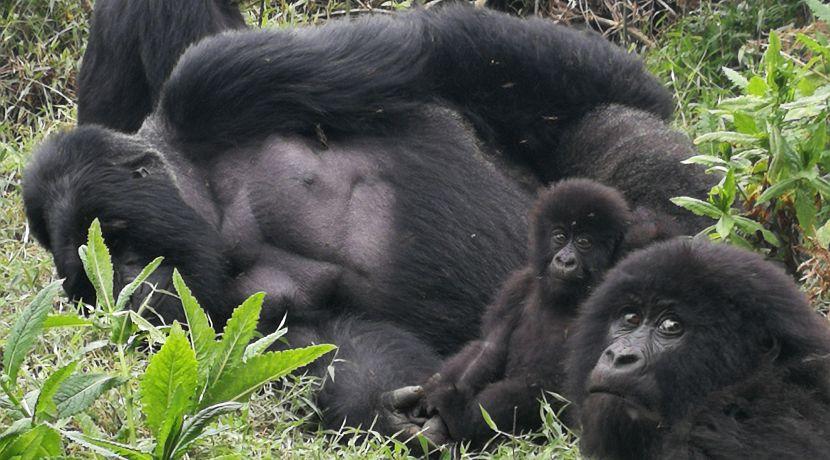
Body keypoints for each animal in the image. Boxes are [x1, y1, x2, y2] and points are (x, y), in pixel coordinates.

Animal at [404, 179, 648, 446]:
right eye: (560, 236)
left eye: (584, 242)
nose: (565, 260)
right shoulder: (518, 286)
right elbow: (491, 347)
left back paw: (458, 416)